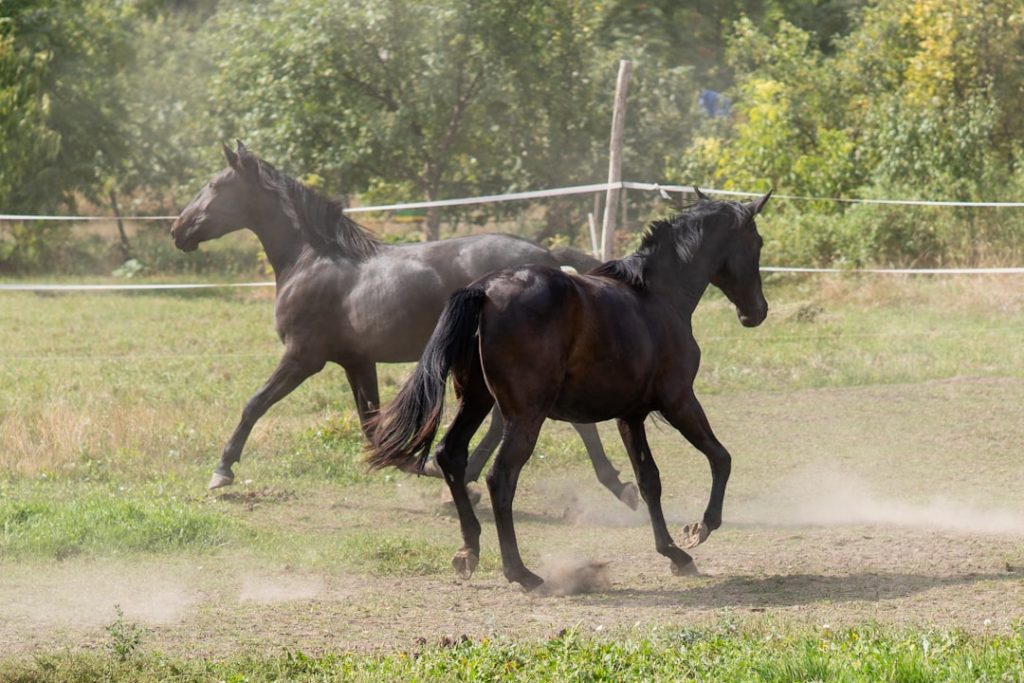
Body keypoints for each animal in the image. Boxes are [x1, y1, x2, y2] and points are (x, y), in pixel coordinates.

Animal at [171, 141, 637, 509]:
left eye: (214, 186)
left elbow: (254, 403)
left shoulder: (303, 357)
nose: (178, 230)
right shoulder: (357, 362)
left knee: (550, 421)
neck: (311, 261)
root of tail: (546, 256)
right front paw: (416, 462)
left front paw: (221, 471)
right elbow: (371, 425)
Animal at [367, 190, 772, 590]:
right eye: (757, 242)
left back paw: (469, 552)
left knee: (451, 456)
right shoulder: (679, 401)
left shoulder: (631, 416)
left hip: (476, 400)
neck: (657, 297)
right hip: (525, 415)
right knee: (501, 477)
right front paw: (700, 529)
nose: (757, 312)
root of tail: (483, 290)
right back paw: (522, 573)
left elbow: (649, 481)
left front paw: (674, 554)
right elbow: (720, 457)